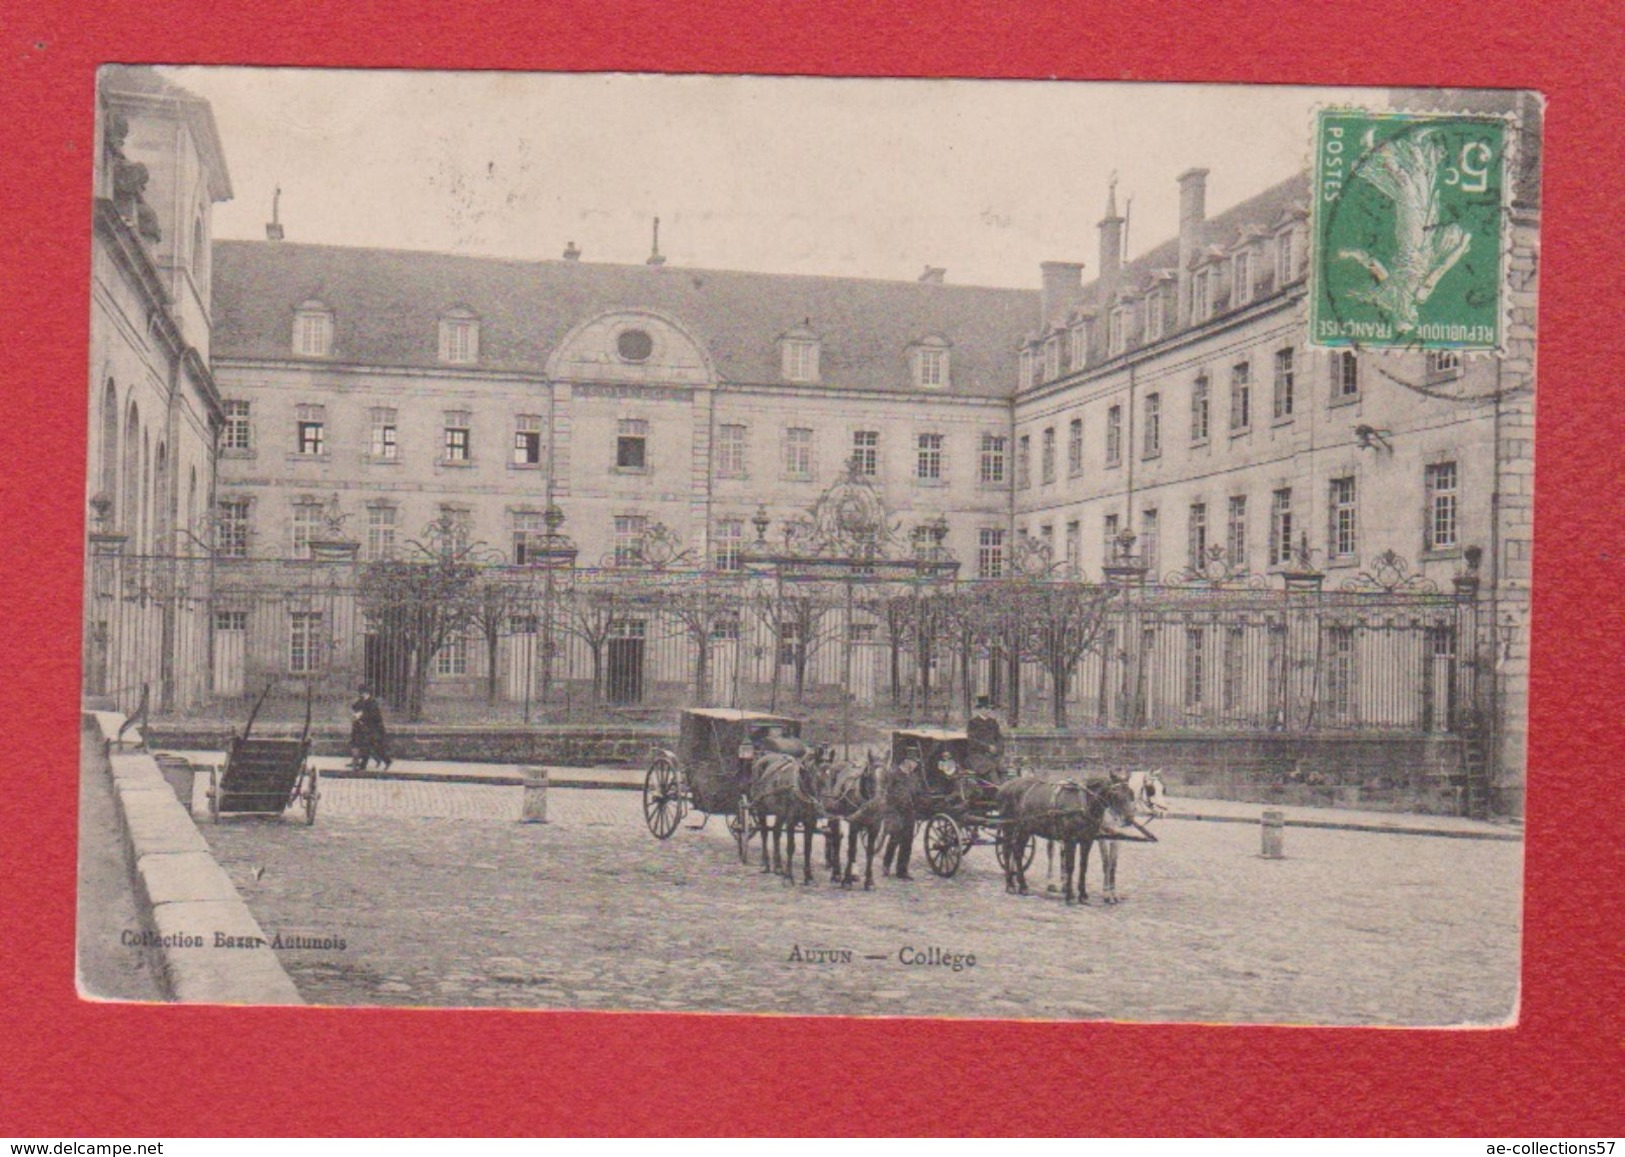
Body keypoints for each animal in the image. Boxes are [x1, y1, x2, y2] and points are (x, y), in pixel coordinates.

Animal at [744, 750, 825, 884]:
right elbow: (790, 847)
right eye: (815, 774)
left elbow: (808, 848)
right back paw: (765, 865)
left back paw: (778, 867)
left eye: (830, 774)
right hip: (761, 809)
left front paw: (809, 877)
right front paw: (788, 876)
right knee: (764, 833)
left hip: (780, 813)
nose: (819, 803)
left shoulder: (810, 821)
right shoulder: (791, 820)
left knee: (776, 832)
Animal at [994, 776, 1137, 903]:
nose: (1129, 820)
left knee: (1018, 851)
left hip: (1025, 829)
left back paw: (1023, 886)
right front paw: (1069, 895)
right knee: (1007, 851)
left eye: (1131, 794)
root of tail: (1004, 786)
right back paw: (1010, 885)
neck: (1084, 803)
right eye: (1116, 794)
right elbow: (1070, 866)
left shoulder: (1087, 840)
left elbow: (1083, 866)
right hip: (1008, 826)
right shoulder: (1070, 840)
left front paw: (1083, 895)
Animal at [1053, 767, 1170, 903]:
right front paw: (1106, 894)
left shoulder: (1117, 839)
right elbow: (1106, 862)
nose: (1163, 812)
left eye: (1163, 789)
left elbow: (1113, 864)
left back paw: (1064, 885)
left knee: (1063, 855)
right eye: (1151, 789)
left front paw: (1114, 894)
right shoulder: (1102, 839)